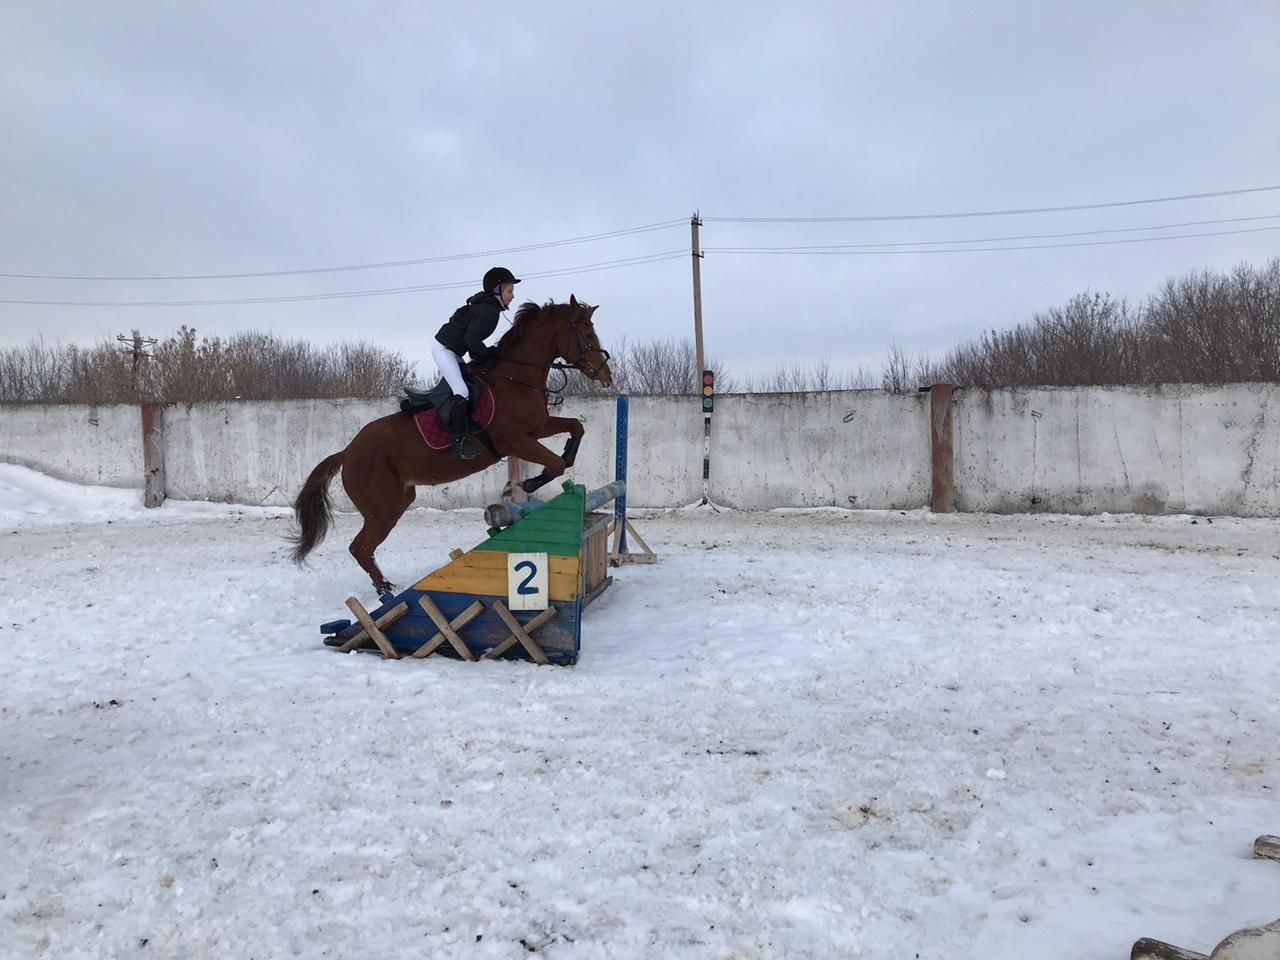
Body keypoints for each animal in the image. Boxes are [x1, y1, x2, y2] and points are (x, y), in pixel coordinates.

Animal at [293, 295, 611, 593]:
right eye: (587, 334)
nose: (606, 376)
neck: (515, 379)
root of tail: (347, 452)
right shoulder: (517, 441)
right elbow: (555, 464)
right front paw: (526, 484)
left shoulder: (537, 428)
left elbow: (576, 429)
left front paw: (555, 464)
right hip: (383, 509)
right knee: (360, 547)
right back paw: (384, 590)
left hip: (398, 501)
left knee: (364, 548)